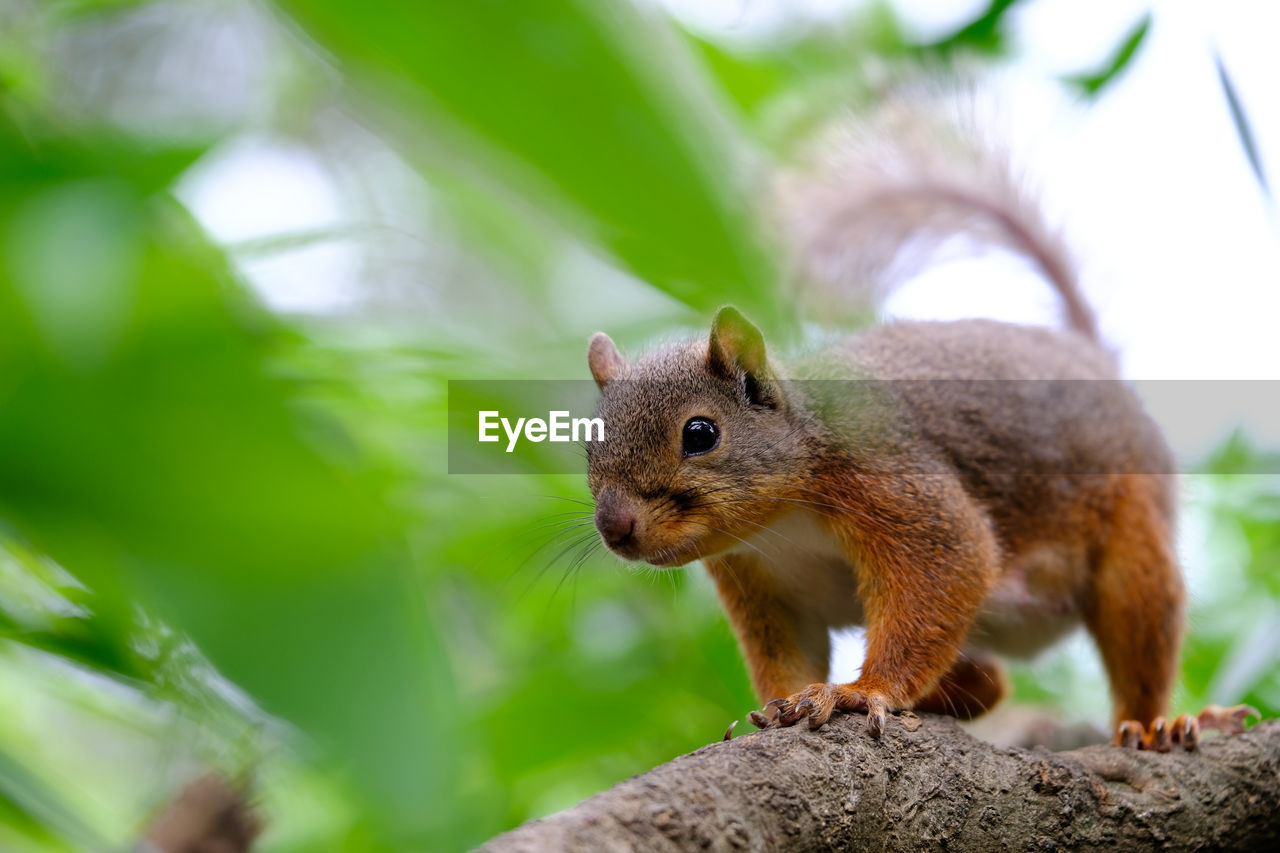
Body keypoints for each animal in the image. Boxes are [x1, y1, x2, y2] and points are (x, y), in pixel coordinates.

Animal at [583, 108, 1259, 753]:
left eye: (701, 434)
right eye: (587, 443)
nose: (616, 529)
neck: (783, 521)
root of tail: (1095, 364)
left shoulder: (890, 480)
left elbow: (950, 563)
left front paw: (861, 692)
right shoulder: (767, 585)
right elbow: (787, 654)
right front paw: (779, 708)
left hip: (1131, 533)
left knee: (1139, 623)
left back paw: (1158, 725)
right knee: (991, 683)